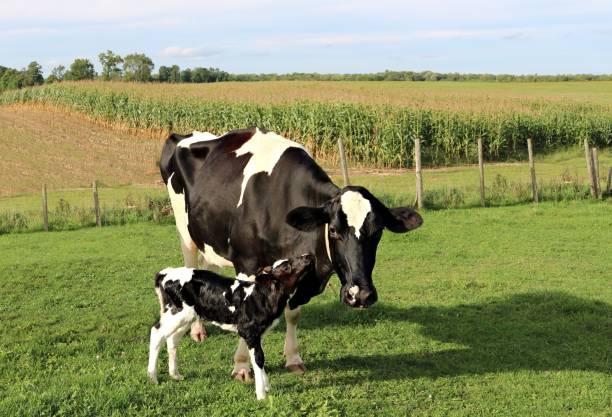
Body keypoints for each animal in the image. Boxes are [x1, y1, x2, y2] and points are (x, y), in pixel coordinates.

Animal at [146, 254, 314, 400]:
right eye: (286, 266)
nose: (307, 256)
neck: (263, 295)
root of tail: (165, 273)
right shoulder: (249, 331)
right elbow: (258, 359)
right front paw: (261, 395)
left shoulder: (257, 333)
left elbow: (259, 358)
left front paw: (266, 386)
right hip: (176, 313)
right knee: (156, 333)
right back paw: (152, 377)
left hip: (186, 317)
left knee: (172, 339)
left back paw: (175, 374)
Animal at [160, 127, 424, 380]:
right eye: (334, 231)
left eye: (378, 231)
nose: (360, 295)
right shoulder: (246, 263)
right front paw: (242, 366)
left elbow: (293, 314)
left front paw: (294, 359)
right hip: (185, 231)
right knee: (190, 264)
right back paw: (197, 329)